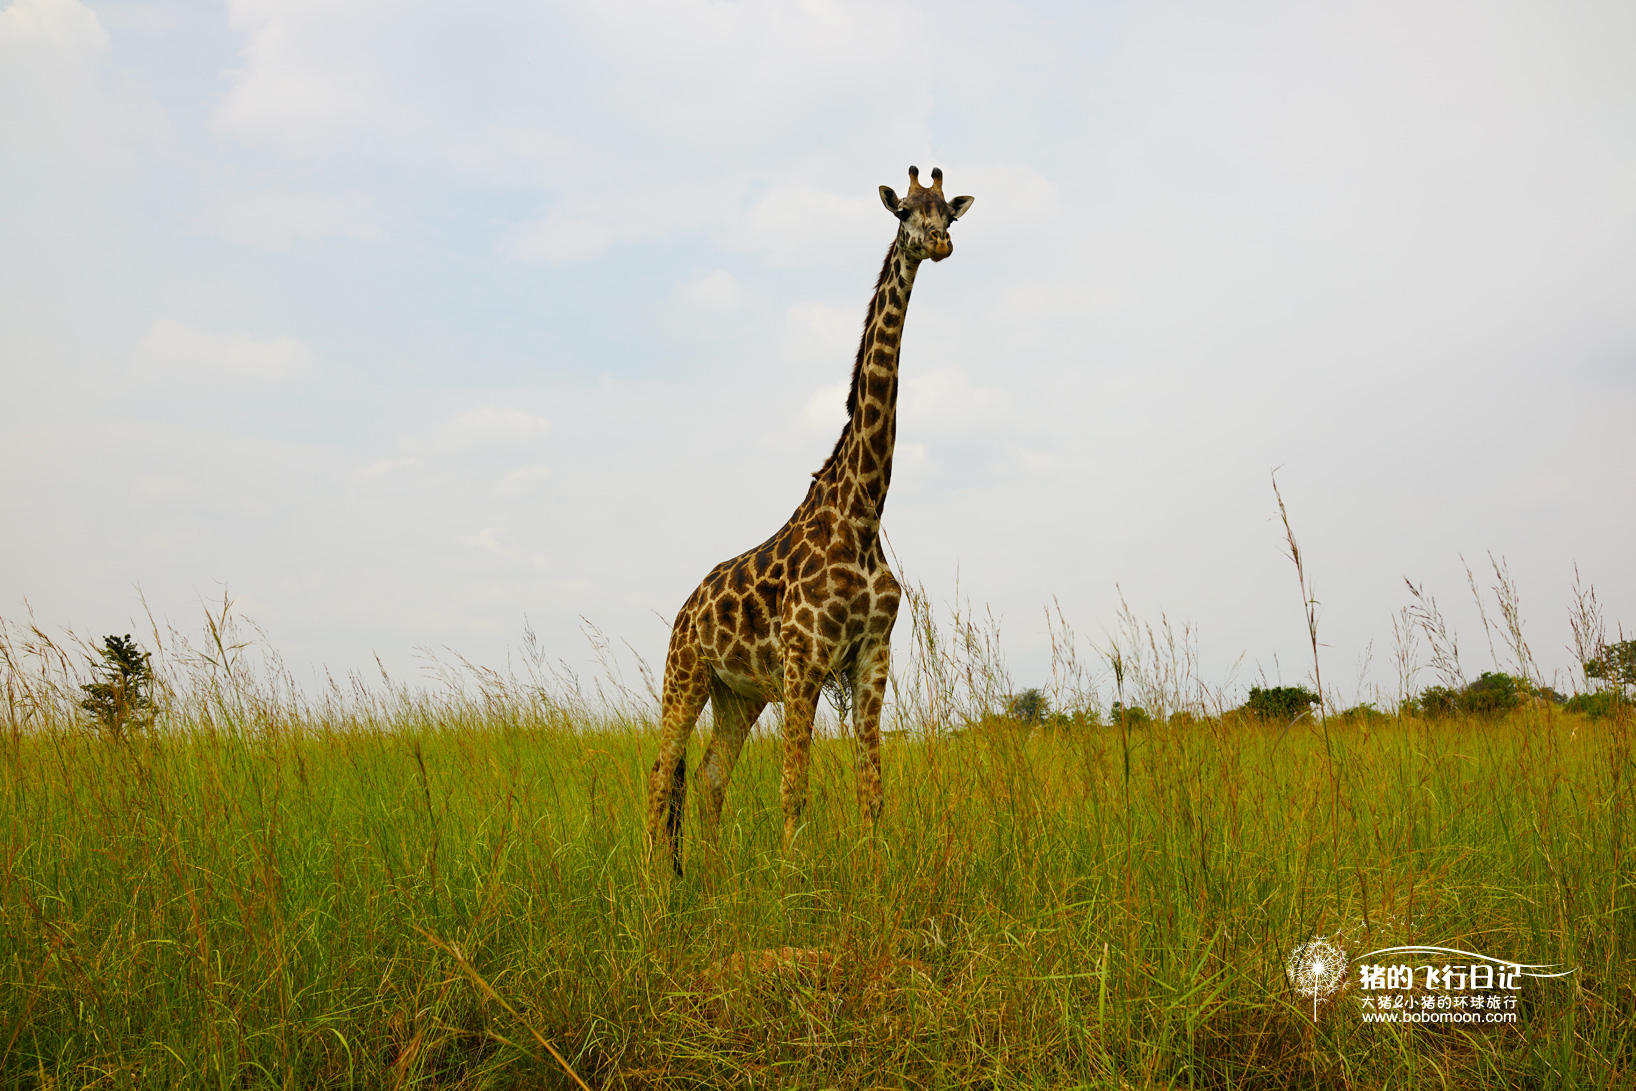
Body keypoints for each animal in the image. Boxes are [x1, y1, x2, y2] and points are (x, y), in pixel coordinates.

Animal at [644, 164, 975, 876]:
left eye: (948, 212)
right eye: (904, 210)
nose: (938, 244)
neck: (864, 512)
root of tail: (685, 609)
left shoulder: (871, 657)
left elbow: (871, 787)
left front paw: (873, 881)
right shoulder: (804, 660)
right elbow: (793, 785)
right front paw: (794, 886)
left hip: (738, 693)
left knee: (709, 775)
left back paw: (709, 881)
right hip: (685, 675)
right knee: (661, 772)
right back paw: (657, 879)